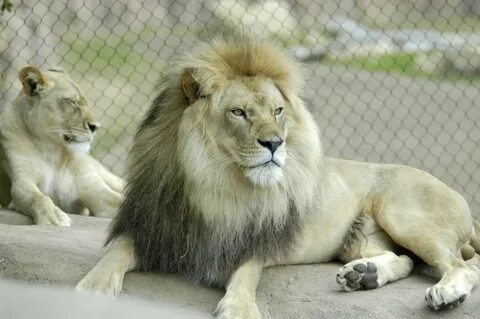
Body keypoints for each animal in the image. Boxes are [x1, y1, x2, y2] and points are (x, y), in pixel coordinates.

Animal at [0, 65, 124, 226]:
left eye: (86, 102)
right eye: (72, 102)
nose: (95, 127)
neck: (52, 150)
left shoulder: (94, 189)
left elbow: (123, 202)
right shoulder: (22, 183)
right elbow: (39, 198)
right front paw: (54, 217)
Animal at [76, 33, 480, 318]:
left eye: (278, 110)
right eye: (238, 112)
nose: (275, 143)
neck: (211, 181)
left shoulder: (252, 238)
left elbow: (246, 272)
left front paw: (238, 307)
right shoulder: (151, 226)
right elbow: (115, 251)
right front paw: (94, 286)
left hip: (406, 216)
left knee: (461, 266)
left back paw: (444, 293)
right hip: (360, 240)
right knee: (409, 260)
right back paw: (363, 275)